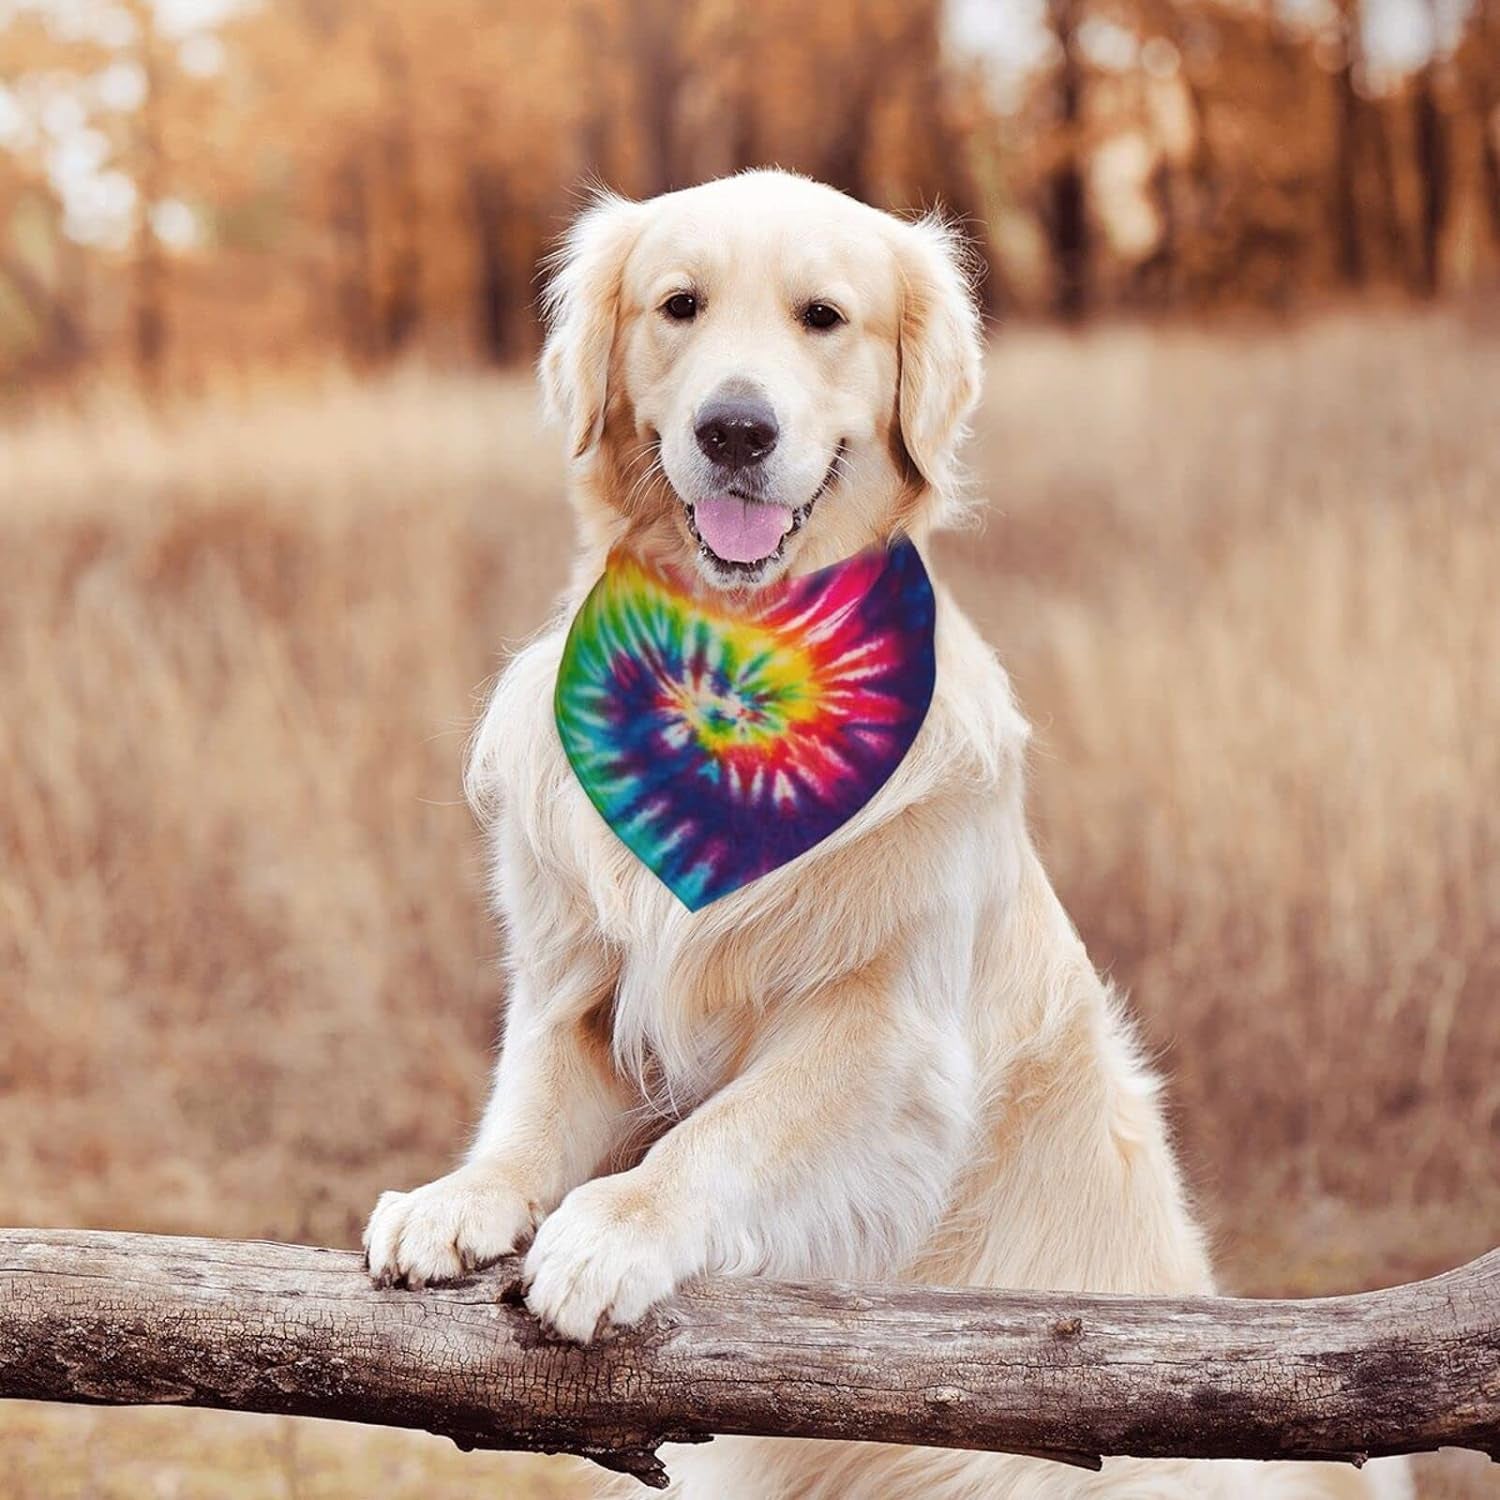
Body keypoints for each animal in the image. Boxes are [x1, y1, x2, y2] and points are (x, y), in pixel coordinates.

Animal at [360, 172, 1404, 1500]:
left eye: (823, 316)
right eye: (679, 305)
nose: (735, 431)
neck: (739, 668)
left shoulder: (885, 1036)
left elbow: (723, 1132)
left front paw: (614, 1232)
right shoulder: (582, 989)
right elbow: (530, 1102)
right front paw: (460, 1197)